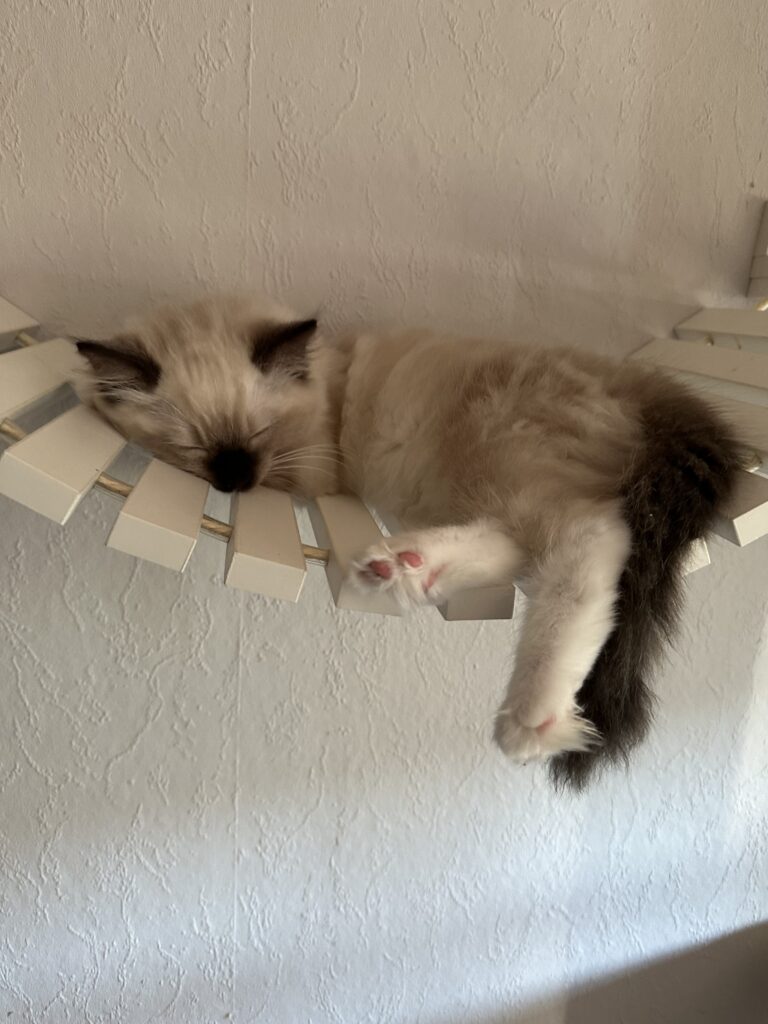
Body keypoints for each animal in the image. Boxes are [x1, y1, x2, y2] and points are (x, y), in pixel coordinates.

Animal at [74, 295, 745, 789]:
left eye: (260, 433)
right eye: (192, 446)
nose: (235, 478)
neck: (332, 377)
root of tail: (642, 381)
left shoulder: (311, 470)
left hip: (511, 461)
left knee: (588, 549)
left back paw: (529, 721)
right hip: (488, 486)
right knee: (517, 545)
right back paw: (404, 567)